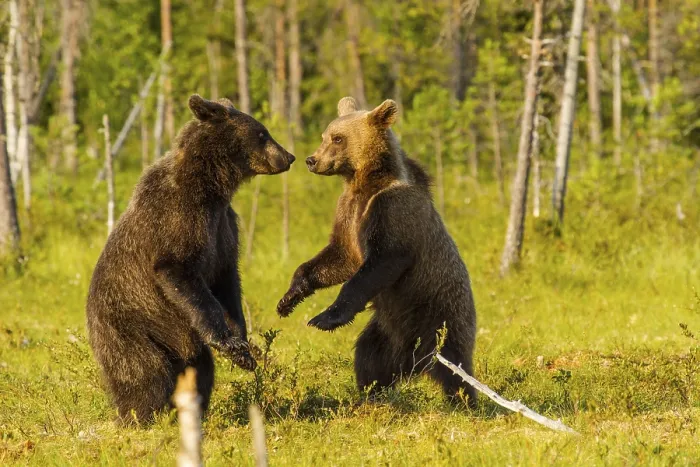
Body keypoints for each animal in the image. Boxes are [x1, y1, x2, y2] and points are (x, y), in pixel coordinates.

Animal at [86, 94, 295, 424]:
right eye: (262, 133)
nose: (288, 156)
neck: (211, 186)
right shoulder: (179, 216)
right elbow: (179, 272)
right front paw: (231, 344)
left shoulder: (224, 228)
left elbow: (227, 281)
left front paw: (244, 343)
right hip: (130, 328)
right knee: (145, 372)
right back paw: (140, 416)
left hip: (179, 339)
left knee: (200, 368)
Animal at [277, 97, 477, 407]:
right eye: (325, 135)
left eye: (337, 138)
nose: (312, 160)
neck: (366, 182)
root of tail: (414, 362)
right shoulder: (348, 211)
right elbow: (339, 257)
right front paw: (289, 299)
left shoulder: (391, 210)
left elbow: (380, 262)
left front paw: (324, 318)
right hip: (386, 331)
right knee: (370, 357)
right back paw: (373, 395)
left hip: (440, 314)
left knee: (455, 365)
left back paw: (466, 401)